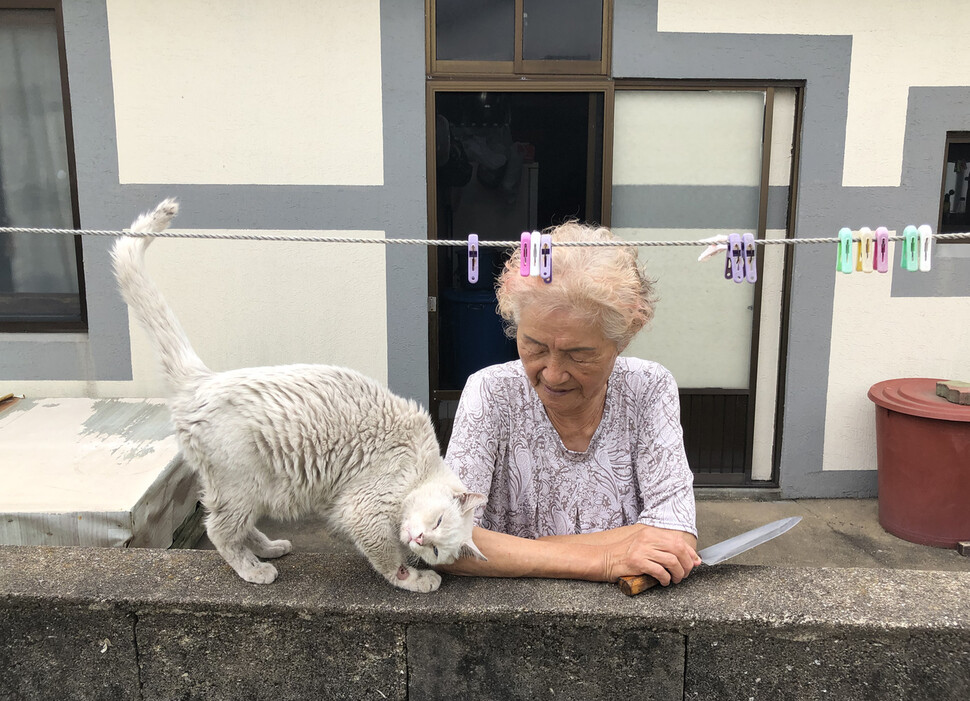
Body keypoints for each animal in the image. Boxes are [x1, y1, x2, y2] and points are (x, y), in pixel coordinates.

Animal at [111, 198, 484, 592]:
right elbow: (390, 561)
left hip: (252, 490)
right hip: (243, 485)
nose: (420, 540)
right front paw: (417, 579)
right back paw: (256, 569)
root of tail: (203, 379)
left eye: (437, 550)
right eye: (438, 522)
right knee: (219, 531)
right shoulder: (364, 512)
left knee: (235, 527)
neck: (421, 469)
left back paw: (272, 548)